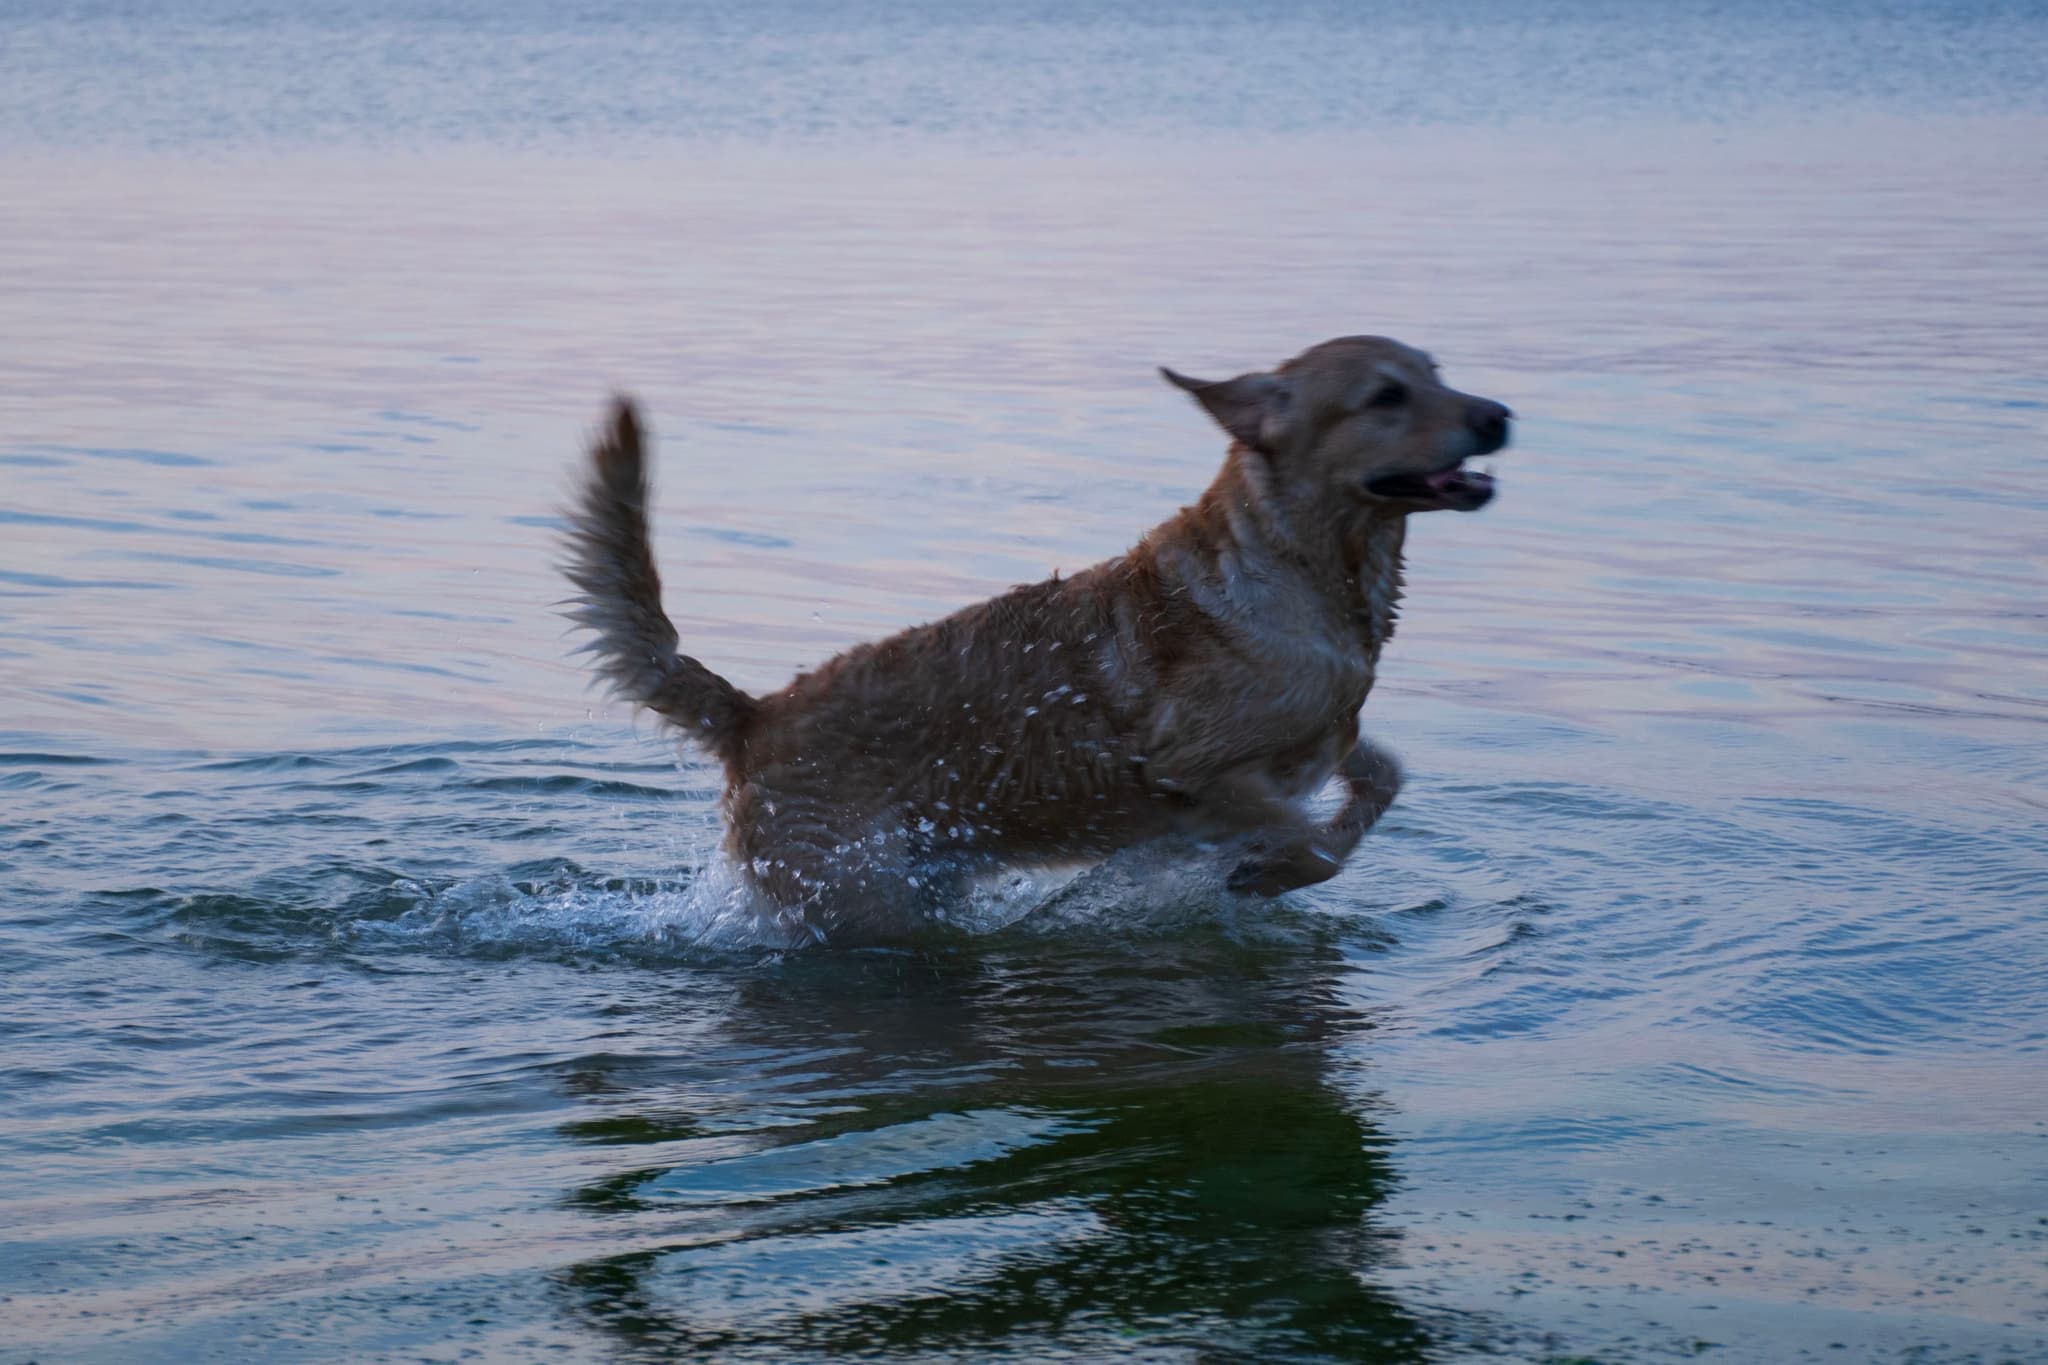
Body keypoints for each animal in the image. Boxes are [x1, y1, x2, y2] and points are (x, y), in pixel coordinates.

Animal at [569, 335, 1515, 945]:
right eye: (1386, 395)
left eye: (1436, 373)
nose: (1500, 415)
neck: (1305, 568)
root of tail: (753, 714)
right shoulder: (1191, 772)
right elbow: (1310, 837)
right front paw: (1271, 871)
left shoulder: (1318, 742)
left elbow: (1381, 776)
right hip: (856, 895)